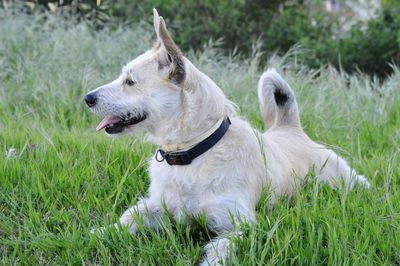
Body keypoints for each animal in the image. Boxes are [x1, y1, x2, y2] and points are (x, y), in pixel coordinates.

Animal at [86, 9, 370, 264]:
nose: (87, 98)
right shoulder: (159, 206)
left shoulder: (239, 225)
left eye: (130, 82)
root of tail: (290, 128)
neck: (193, 152)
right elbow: (129, 217)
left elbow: (219, 249)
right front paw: (100, 233)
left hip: (341, 177)